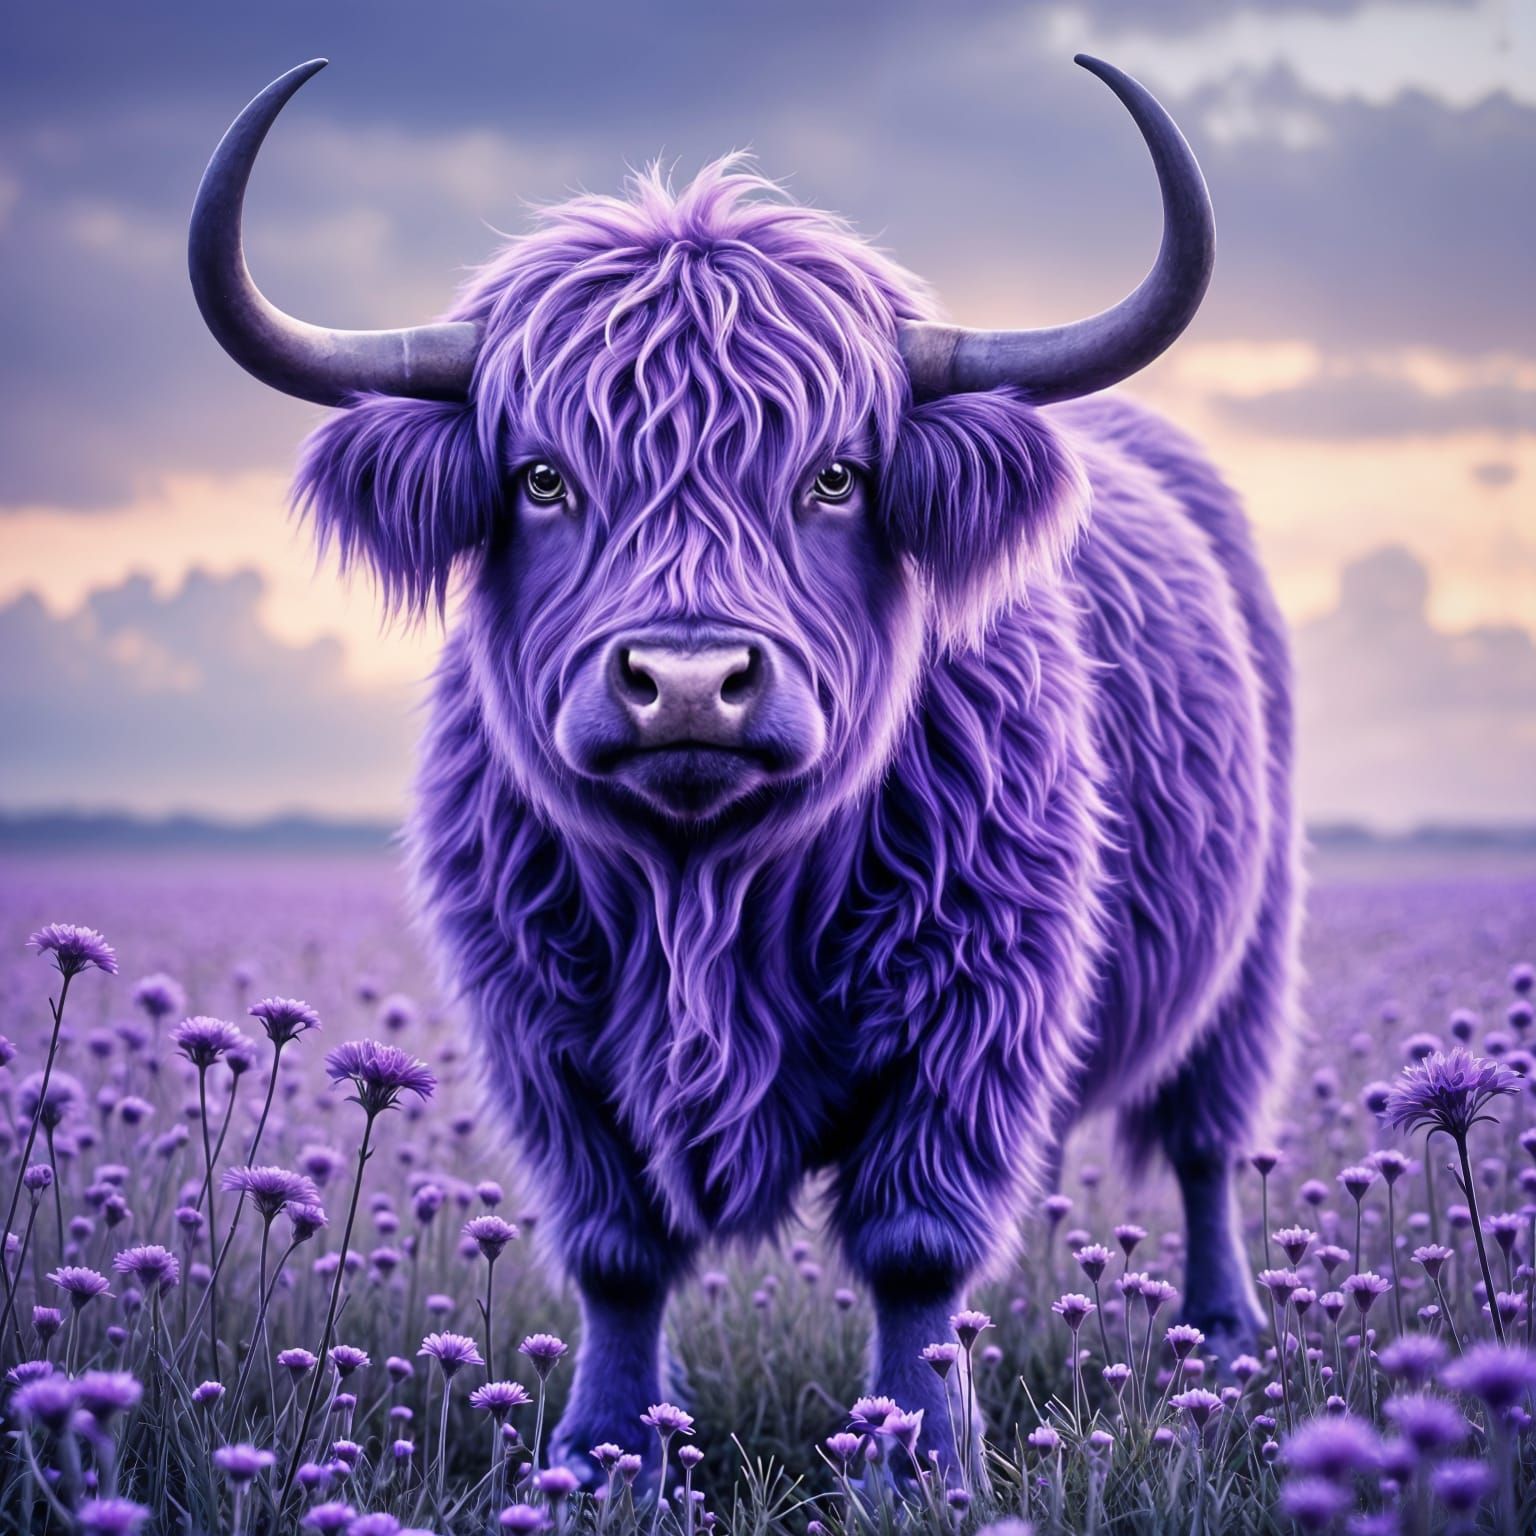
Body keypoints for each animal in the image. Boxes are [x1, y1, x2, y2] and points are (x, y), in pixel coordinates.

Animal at [190, 56, 1297, 1479]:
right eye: (540, 478)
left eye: (835, 477)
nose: (687, 682)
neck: (705, 887)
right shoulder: (543, 1036)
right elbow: (617, 1254)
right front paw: (601, 1453)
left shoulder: (972, 1011)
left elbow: (915, 1248)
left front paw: (921, 1459)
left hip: (1248, 959)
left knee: (1211, 1144)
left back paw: (1224, 1330)